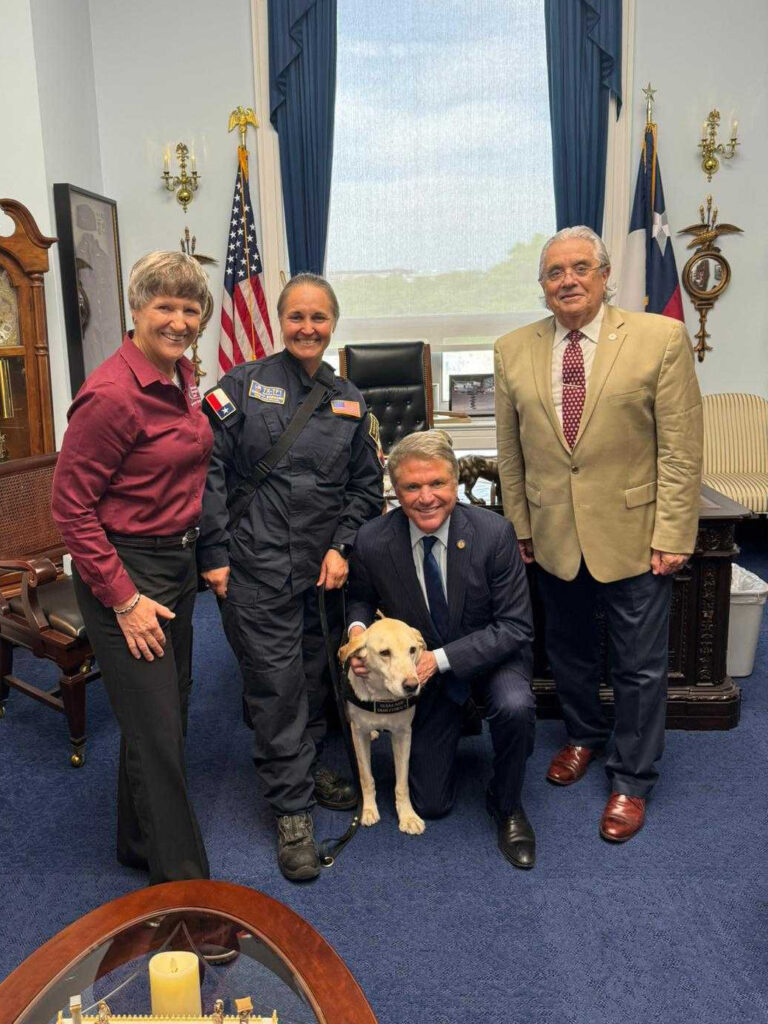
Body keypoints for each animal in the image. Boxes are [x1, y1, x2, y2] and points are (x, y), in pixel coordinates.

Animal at [342, 614, 430, 831]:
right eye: (384, 653)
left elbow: (402, 783)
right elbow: (366, 777)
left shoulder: (403, 734)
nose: (412, 686)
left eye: (412, 650)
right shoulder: (359, 733)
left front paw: (407, 816)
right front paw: (368, 810)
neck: (383, 696)